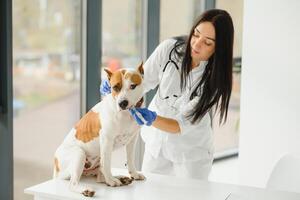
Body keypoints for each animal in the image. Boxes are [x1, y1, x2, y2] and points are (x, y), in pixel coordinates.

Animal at [54, 63, 146, 197]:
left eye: (132, 86)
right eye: (115, 87)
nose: (122, 103)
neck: (126, 114)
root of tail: (55, 163)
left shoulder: (132, 139)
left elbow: (130, 159)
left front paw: (133, 174)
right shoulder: (107, 140)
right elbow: (106, 164)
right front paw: (111, 181)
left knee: (100, 176)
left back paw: (120, 178)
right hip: (79, 153)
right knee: (73, 183)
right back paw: (89, 189)